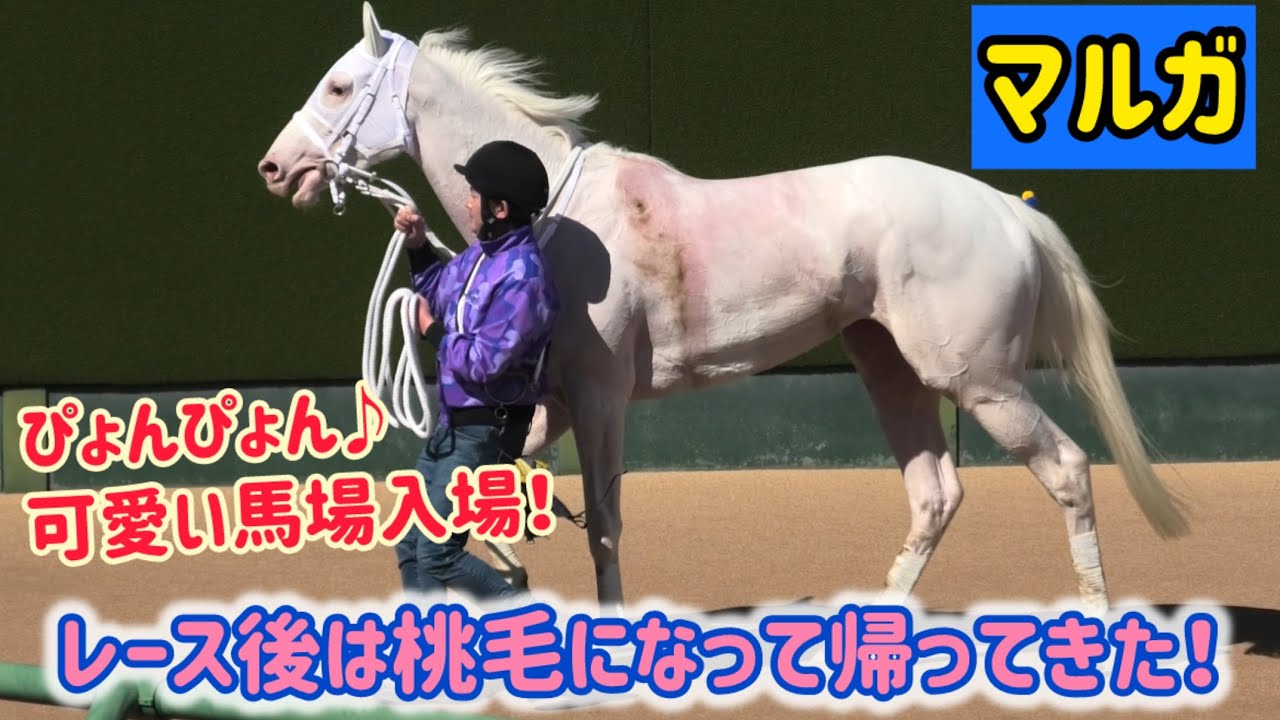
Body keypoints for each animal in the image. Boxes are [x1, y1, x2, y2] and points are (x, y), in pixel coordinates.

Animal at [256, 3, 1189, 616]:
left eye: (339, 85)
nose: (275, 168)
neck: (553, 218)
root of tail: (1008, 210)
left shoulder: (598, 398)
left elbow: (603, 520)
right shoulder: (546, 397)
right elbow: (497, 480)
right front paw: (507, 558)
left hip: (979, 380)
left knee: (1066, 469)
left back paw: (1094, 618)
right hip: (889, 368)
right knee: (935, 492)